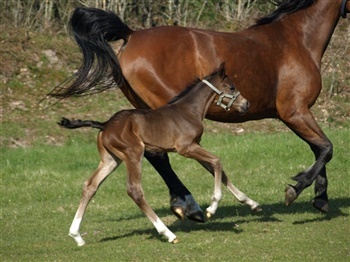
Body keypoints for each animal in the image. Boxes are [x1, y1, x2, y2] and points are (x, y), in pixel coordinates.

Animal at [48, 0, 348, 221]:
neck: (297, 38)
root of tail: (131, 34)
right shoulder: (294, 112)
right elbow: (326, 148)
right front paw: (296, 189)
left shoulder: (298, 114)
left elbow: (318, 148)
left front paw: (320, 198)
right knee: (159, 155)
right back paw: (190, 206)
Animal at [58, 64, 258, 245]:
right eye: (231, 87)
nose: (246, 104)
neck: (188, 111)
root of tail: (105, 124)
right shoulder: (186, 148)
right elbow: (217, 162)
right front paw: (211, 208)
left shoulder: (195, 145)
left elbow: (218, 171)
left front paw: (251, 202)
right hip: (133, 154)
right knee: (134, 191)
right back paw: (167, 234)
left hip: (111, 160)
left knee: (90, 186)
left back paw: (76, 236)